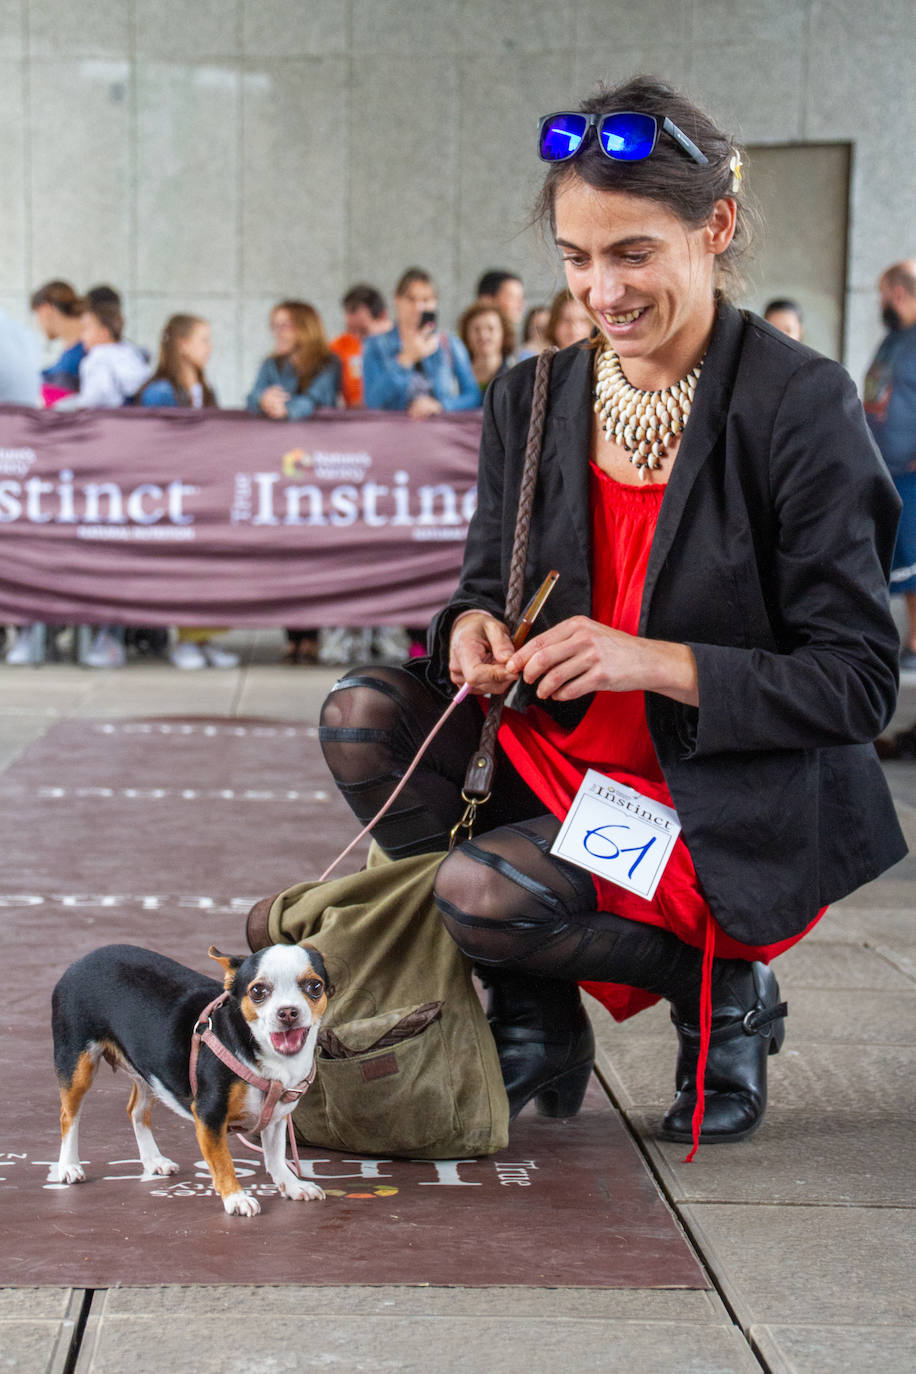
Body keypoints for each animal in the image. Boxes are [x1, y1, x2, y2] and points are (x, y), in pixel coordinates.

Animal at [51, 939, 330, 1220]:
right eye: (258, 991)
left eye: (315, 987)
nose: (288, 1012)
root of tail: (83, 959)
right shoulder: (209, 1116)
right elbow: (223, 1162)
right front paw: (236, 1197)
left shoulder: (276, 1116)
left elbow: (275, 1156)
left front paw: (292, 1185)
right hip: (78, 1066)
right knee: (68, 1116)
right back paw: (69, 1166)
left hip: (148, 1072)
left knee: (136, 1111)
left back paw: (154, 1160)